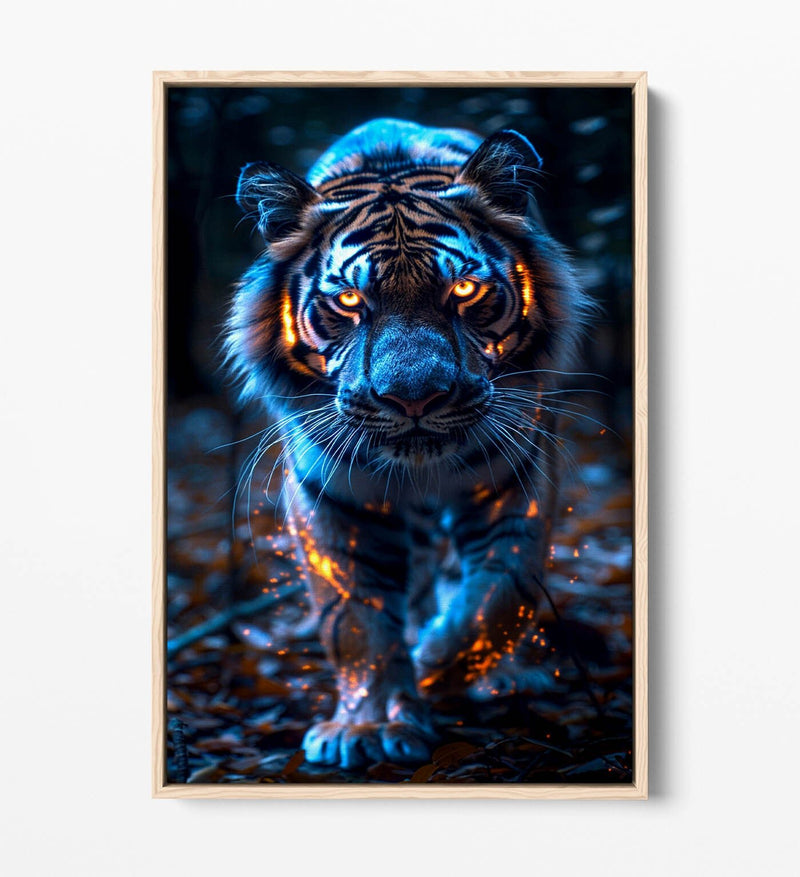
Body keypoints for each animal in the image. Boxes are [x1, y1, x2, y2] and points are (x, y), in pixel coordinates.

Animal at [224, 118, 590, 769]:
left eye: (465, 290)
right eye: (349, 301)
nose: (414, 398)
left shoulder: (515, 474)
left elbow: (501, 594)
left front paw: (438, 664)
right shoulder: (332, 495)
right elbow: (355, 618)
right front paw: (368, 727)